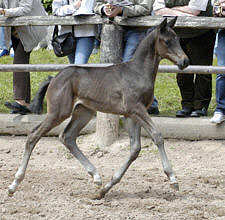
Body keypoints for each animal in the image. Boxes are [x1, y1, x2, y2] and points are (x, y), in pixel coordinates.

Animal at [7, 18, 189, 199]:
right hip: (58, 112)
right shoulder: (136, 109)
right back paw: (14, 184)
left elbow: (135, 149)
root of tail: (53, 78)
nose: (185, 61)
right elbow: (157, 136)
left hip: (83, 112)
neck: (137, 72)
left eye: (178, 39)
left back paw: (96, 177)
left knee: (67, 137)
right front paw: (173, 179)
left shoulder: (131, 114)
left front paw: (106, 188)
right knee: (33, 135)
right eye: (167, 41)